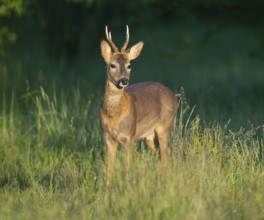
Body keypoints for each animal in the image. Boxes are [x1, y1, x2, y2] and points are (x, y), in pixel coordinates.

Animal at [100, 25, 178, 196]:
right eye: (112, 65)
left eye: (129, 65)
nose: (124, 81)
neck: (114, 116)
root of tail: (174, 97)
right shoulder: (108, 138)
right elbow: (109, 171)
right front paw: (105, 198)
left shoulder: (129, 137)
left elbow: (128, 169)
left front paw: (128, 192)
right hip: (148, 137)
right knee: (160, 156)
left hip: (164, 126)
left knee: (166, 157)